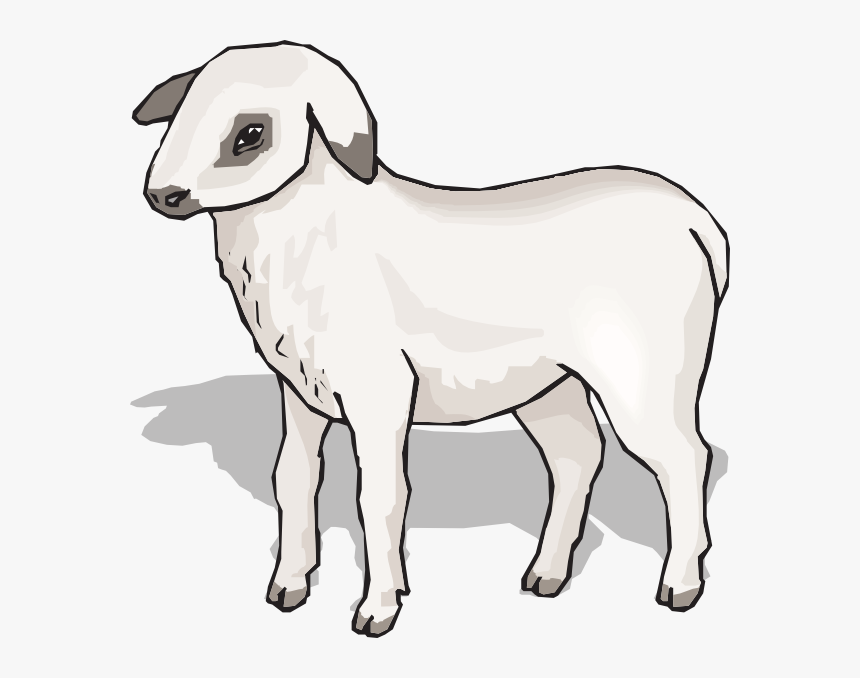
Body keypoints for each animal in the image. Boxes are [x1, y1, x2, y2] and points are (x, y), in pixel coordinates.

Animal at [133, 40, 729, 637]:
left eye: (250, 133)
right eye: (181, 111)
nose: (163, 195)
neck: (314, 237)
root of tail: (693, 216)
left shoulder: (380, 392)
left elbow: (379, 496)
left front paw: (377, 609)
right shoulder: (300, 391)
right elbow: (294, 480)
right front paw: (289, 587)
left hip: (645, 375)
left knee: (685, 460)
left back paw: (680, 586)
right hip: (549, 384)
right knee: (577, 456)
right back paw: (546, 575)